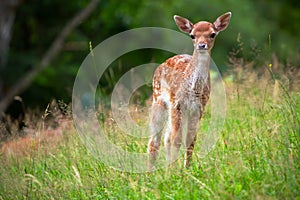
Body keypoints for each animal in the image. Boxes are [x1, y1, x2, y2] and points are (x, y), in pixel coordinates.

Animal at [148, 11, 232, 170]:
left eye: (212, 34)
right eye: (192, 35)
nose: (201, 45)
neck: (193, 89)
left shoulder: (199, 107)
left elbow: (190, 139)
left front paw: (187, 169)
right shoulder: (177, 104)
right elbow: (177, 139)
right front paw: (174, 171)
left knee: (166, 137)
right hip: (158, 100)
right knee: (155, 141)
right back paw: (151, 172)